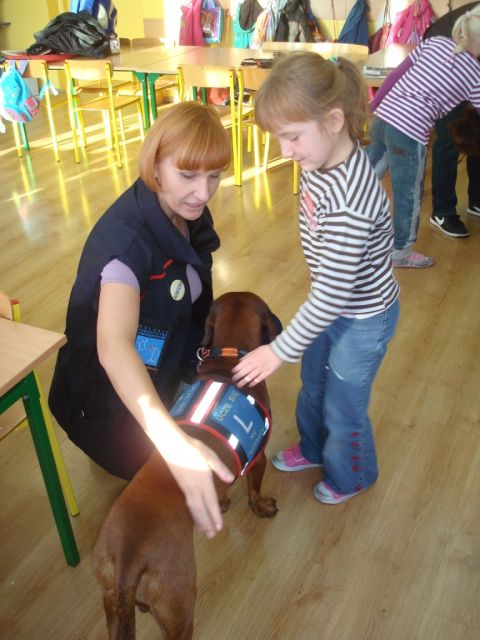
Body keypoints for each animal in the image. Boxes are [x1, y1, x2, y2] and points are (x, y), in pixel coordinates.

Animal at [92, 292, 279, 640]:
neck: (230, 356)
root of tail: (127, 562)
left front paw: (220, 502)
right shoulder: (257, 458)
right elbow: (255, 489)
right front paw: (260, 505)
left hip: (110, 603)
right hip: (180, 611)